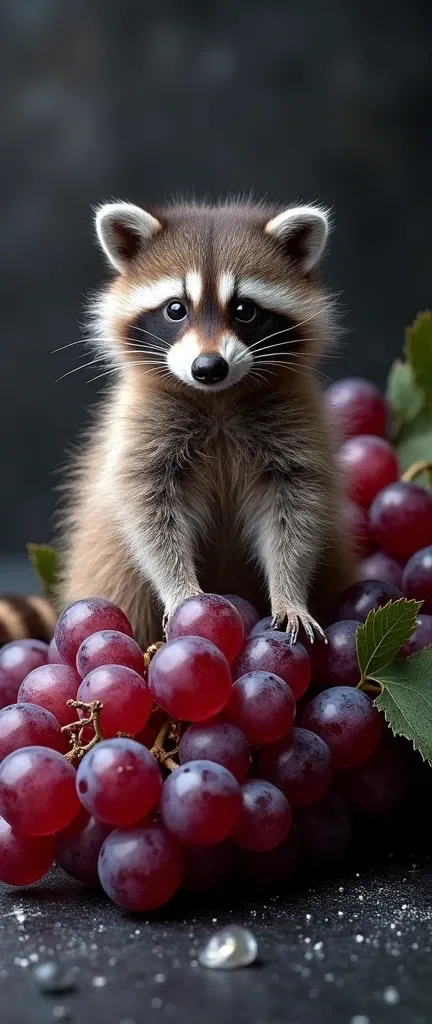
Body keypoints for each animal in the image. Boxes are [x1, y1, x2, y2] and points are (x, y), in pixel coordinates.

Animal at [57, 198, 354, 647]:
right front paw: (180, 589)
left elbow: (297, 516)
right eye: (175, 309)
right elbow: (149, 516)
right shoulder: (142, 427)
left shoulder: (297, 426)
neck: (217, 400)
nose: (208, 368)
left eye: (245, 310)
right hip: (103, 564)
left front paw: (290, 591)